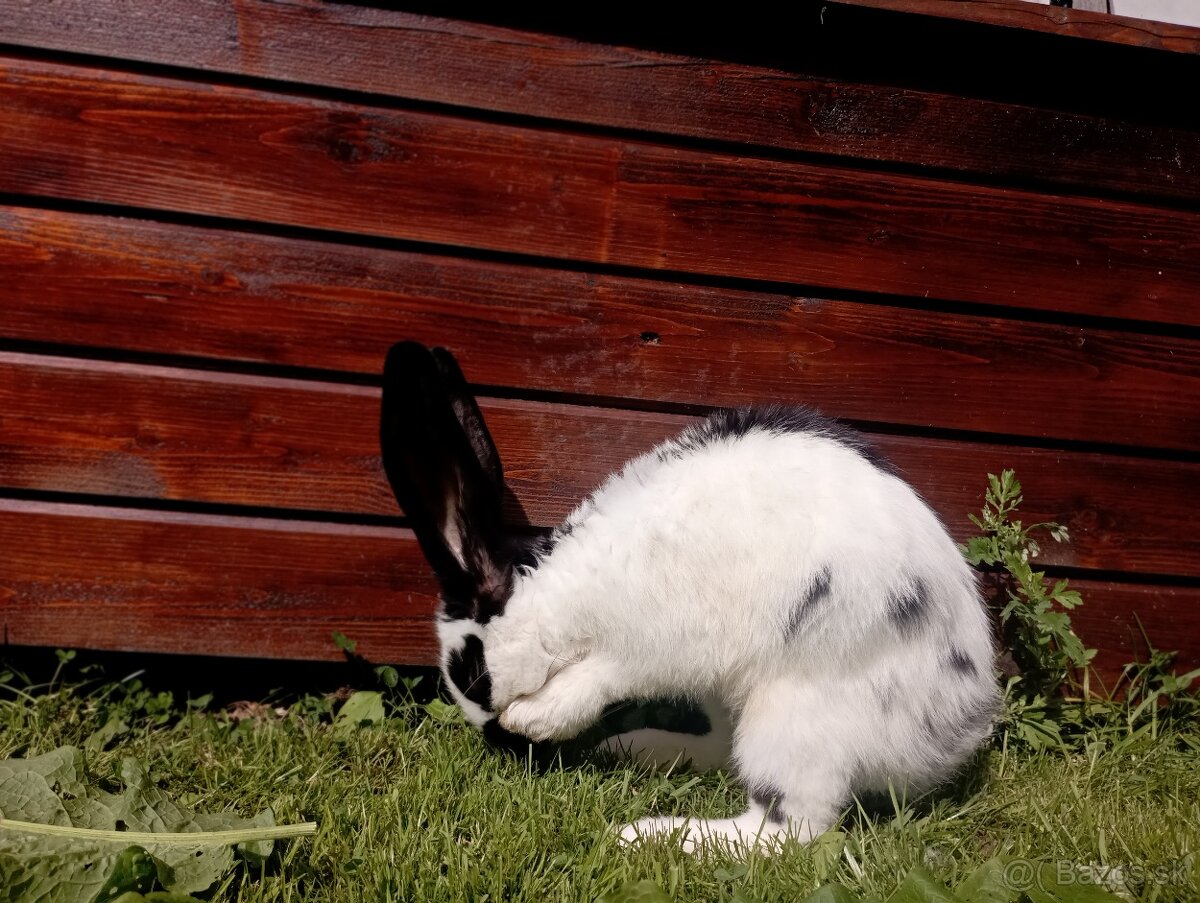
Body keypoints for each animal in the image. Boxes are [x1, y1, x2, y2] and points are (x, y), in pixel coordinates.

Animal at [379, 341, 998, 850]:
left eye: (475, 676)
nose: (505, 747)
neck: (567, 592)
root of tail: (956, 732)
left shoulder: (653, 644)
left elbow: (599, 678)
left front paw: (538, 717)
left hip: (797, 715)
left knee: (787, 829)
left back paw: (653, 836)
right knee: (727, 755)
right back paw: (634, 750)